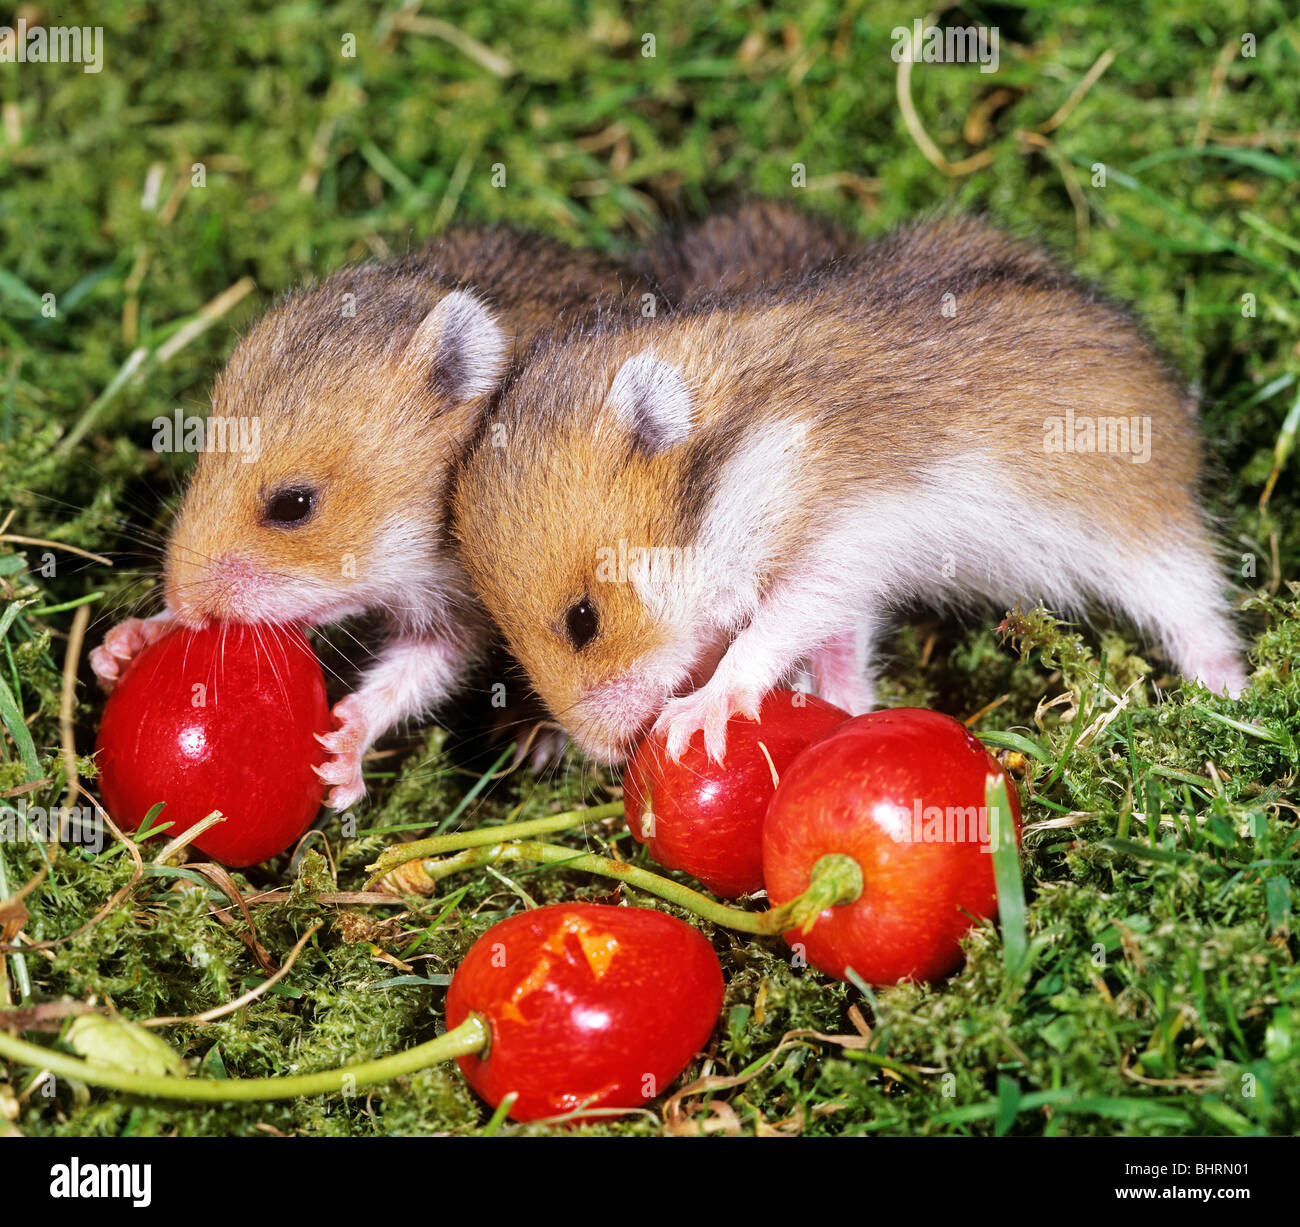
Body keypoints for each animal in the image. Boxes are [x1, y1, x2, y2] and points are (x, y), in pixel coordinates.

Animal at [449, 215, 1248, 764]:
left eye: (583, 619)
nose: (605, 754)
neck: (753, 441)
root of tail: (1180, 406)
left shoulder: (842, 545)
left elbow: (771, 629)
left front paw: (694, 717)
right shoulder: (847, 585)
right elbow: (839, 649)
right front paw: (848, 714)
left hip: (1146, 534)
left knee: (1200, 614)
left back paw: (1232, 697)